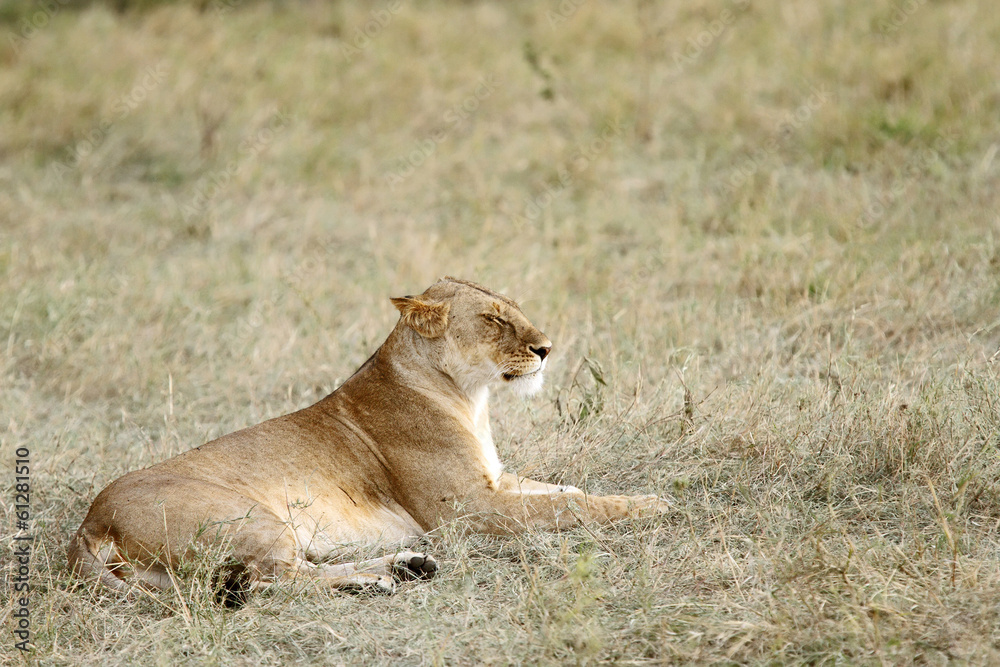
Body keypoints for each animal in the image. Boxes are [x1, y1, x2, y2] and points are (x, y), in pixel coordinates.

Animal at [68, 277, 666, 603]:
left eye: (515, 310)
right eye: (494, 320)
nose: (547, 348)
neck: (469, 398)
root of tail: (89, 522)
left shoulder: (495, 482)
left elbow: (560, 491)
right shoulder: (470, 511)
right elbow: (571, 509)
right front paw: (652, 504)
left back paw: (405, 567)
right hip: (255, 520)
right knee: (273, 581)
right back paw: (380, 581)